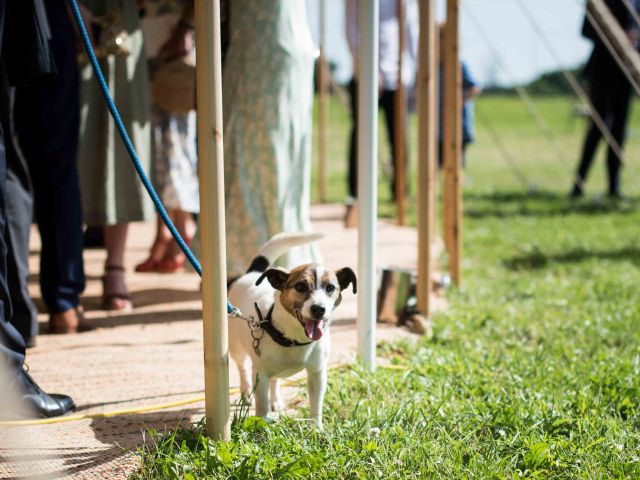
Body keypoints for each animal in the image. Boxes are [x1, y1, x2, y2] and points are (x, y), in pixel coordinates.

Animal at [226, 232, 358, 428]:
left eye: (330, 288)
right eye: (300, 287)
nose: (318, 309)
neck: (294, 338)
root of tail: (252, 274)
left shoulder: (317, 373)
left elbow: (316, 404)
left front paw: (316, 428)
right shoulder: (260, 375)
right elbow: (262, 405)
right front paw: (261, 425)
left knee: (275, 380)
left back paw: (276, 400)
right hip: (236, 348)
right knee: (242, 368)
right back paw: (246, 392)